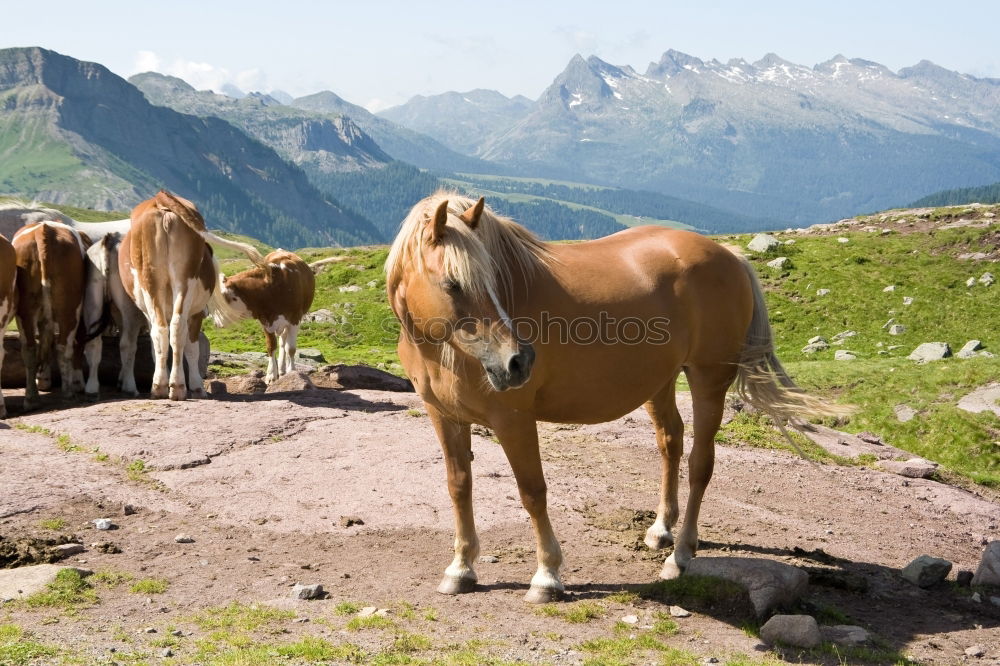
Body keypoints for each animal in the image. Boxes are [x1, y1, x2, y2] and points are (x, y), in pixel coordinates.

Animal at [120, 191, 266, 400]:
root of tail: (161, 199)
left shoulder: (191, 313)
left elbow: (186, 349)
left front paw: (196, 386)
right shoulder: (194, 313)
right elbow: (184, 348)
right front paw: (195, 386)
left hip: (161, 281)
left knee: (168, 329)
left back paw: (169, 386)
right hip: (176, 282)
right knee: (170, 329)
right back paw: (169, 386)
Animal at [212, 249, 316, 382]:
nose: (216, 323)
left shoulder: (294, 319)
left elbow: (291, 349)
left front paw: (292, 371)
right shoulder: (266, 321)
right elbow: (271, 347)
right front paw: (271, 375)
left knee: (285, 343)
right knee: (281, 343)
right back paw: (280, 369)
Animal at [386, 191, 840, 600]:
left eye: (496, 280)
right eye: (453, 284)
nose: (518, 362)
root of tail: (729, 255)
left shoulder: (513, 420)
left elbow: (532, 492)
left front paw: (547, 576)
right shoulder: (443, 416)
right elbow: (458, 486)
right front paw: (461, 569)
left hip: (708, 380)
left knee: (700, 464)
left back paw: (680, 554)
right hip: (661, 381)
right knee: (670, 442)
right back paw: (661, 530)